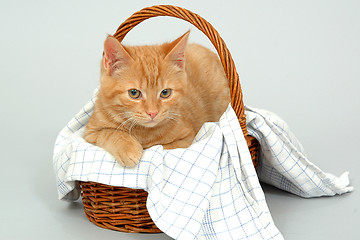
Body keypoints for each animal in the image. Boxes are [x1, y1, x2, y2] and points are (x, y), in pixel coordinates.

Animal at [84, 31, 231, 167]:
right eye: (134, 93)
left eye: (165, 93)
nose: (152, 113)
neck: (143, 132)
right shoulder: (89, 132)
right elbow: (109, 133)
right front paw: (128, 148)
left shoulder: (187, 139)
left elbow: (160, 147)